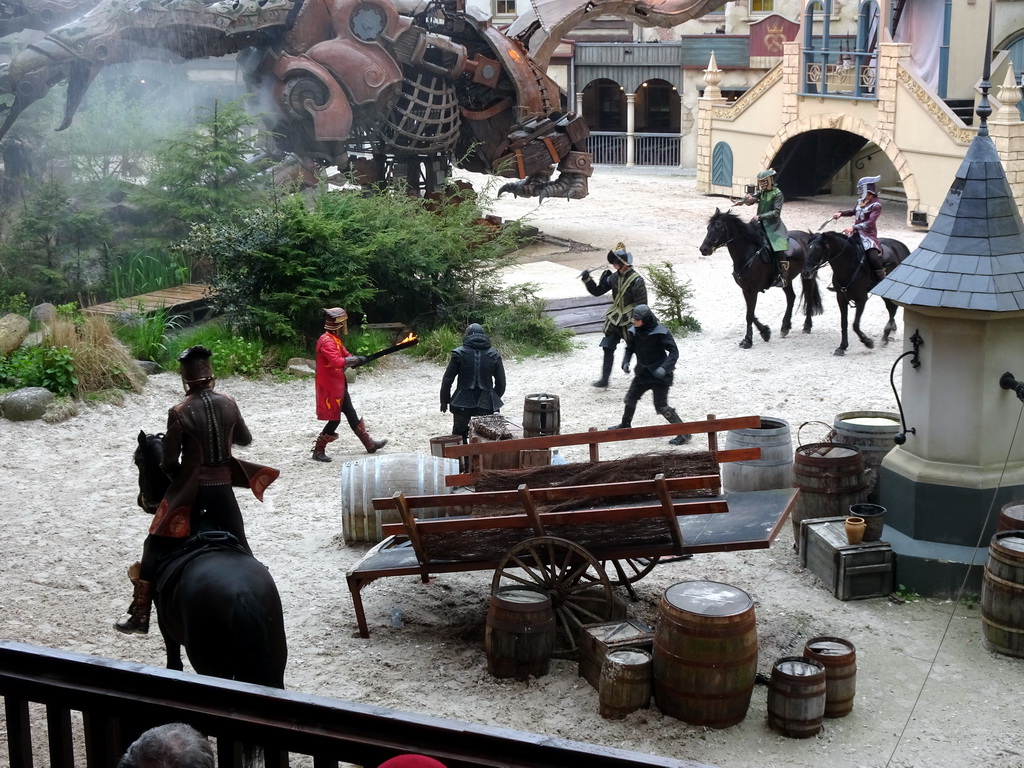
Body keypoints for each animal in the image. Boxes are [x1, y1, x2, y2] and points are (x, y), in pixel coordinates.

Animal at [133, 434, 288, 692]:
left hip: (212, 665)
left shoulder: (165, 624)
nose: (140, 501)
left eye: (138, 461)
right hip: (276, 662)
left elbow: (173, 663)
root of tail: (243, 596)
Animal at [696, 208, 823, 350]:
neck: (747, 254)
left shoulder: (753, 290)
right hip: (787, 280)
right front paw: (765, 332)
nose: (703, 249)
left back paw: (807, 326)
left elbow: (749, 315)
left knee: (808, 296)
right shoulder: (746, 290)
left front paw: (748, 340)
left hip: (808, 275)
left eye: (719, 227)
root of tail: (809, 236)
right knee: (791, 297)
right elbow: (750, 314)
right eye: (708, 228)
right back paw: (785, 327)